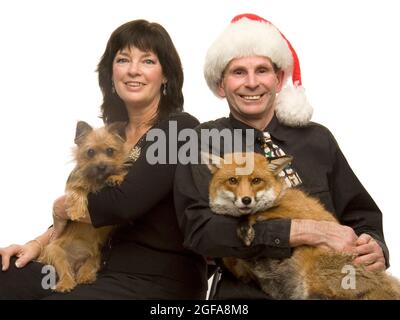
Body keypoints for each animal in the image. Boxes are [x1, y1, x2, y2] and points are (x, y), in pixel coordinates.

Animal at [38, 120, 130, 292]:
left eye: (110, 151)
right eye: (90, 152)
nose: (101, 167)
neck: (98, 181)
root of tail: (75, 261)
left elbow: (119, 173)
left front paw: (115, 177)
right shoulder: (75, 184)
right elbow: (79, 190)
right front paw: (75, 211)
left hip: (95, 255)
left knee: (88, 267)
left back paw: (86, 276)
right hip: (55, 251)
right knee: (65, 270)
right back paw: (65, 284)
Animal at [205, 152, 400, 300]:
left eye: (256, 181)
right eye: (233, 180)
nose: (246, 200)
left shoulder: (296, 213)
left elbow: (257, 213)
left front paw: (245, 226)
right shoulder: (241, 270)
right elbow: (228, 258)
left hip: (315, 281)